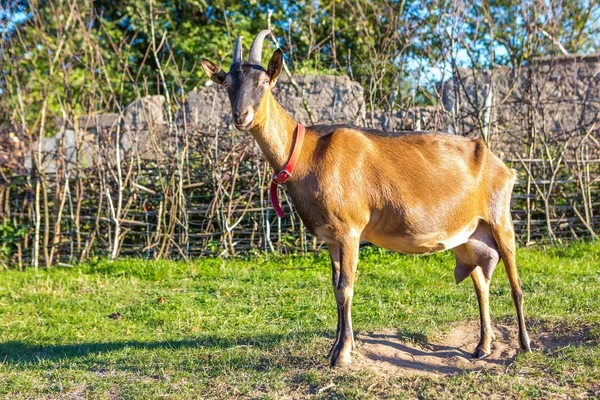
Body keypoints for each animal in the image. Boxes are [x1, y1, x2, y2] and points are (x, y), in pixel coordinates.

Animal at [204, 31, 532, 368]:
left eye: (263, 83)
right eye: (227, 84)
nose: (241, 116)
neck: (307, 153)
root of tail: (502, 166)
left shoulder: (350, 230)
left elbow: (345, 288)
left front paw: (342, 353)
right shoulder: (331, 238)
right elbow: (335, 286)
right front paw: (334, 348)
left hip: (500, 220)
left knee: (516, 283)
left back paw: (524, 344)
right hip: (469, 236)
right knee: (481, 284)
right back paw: (482, 346)